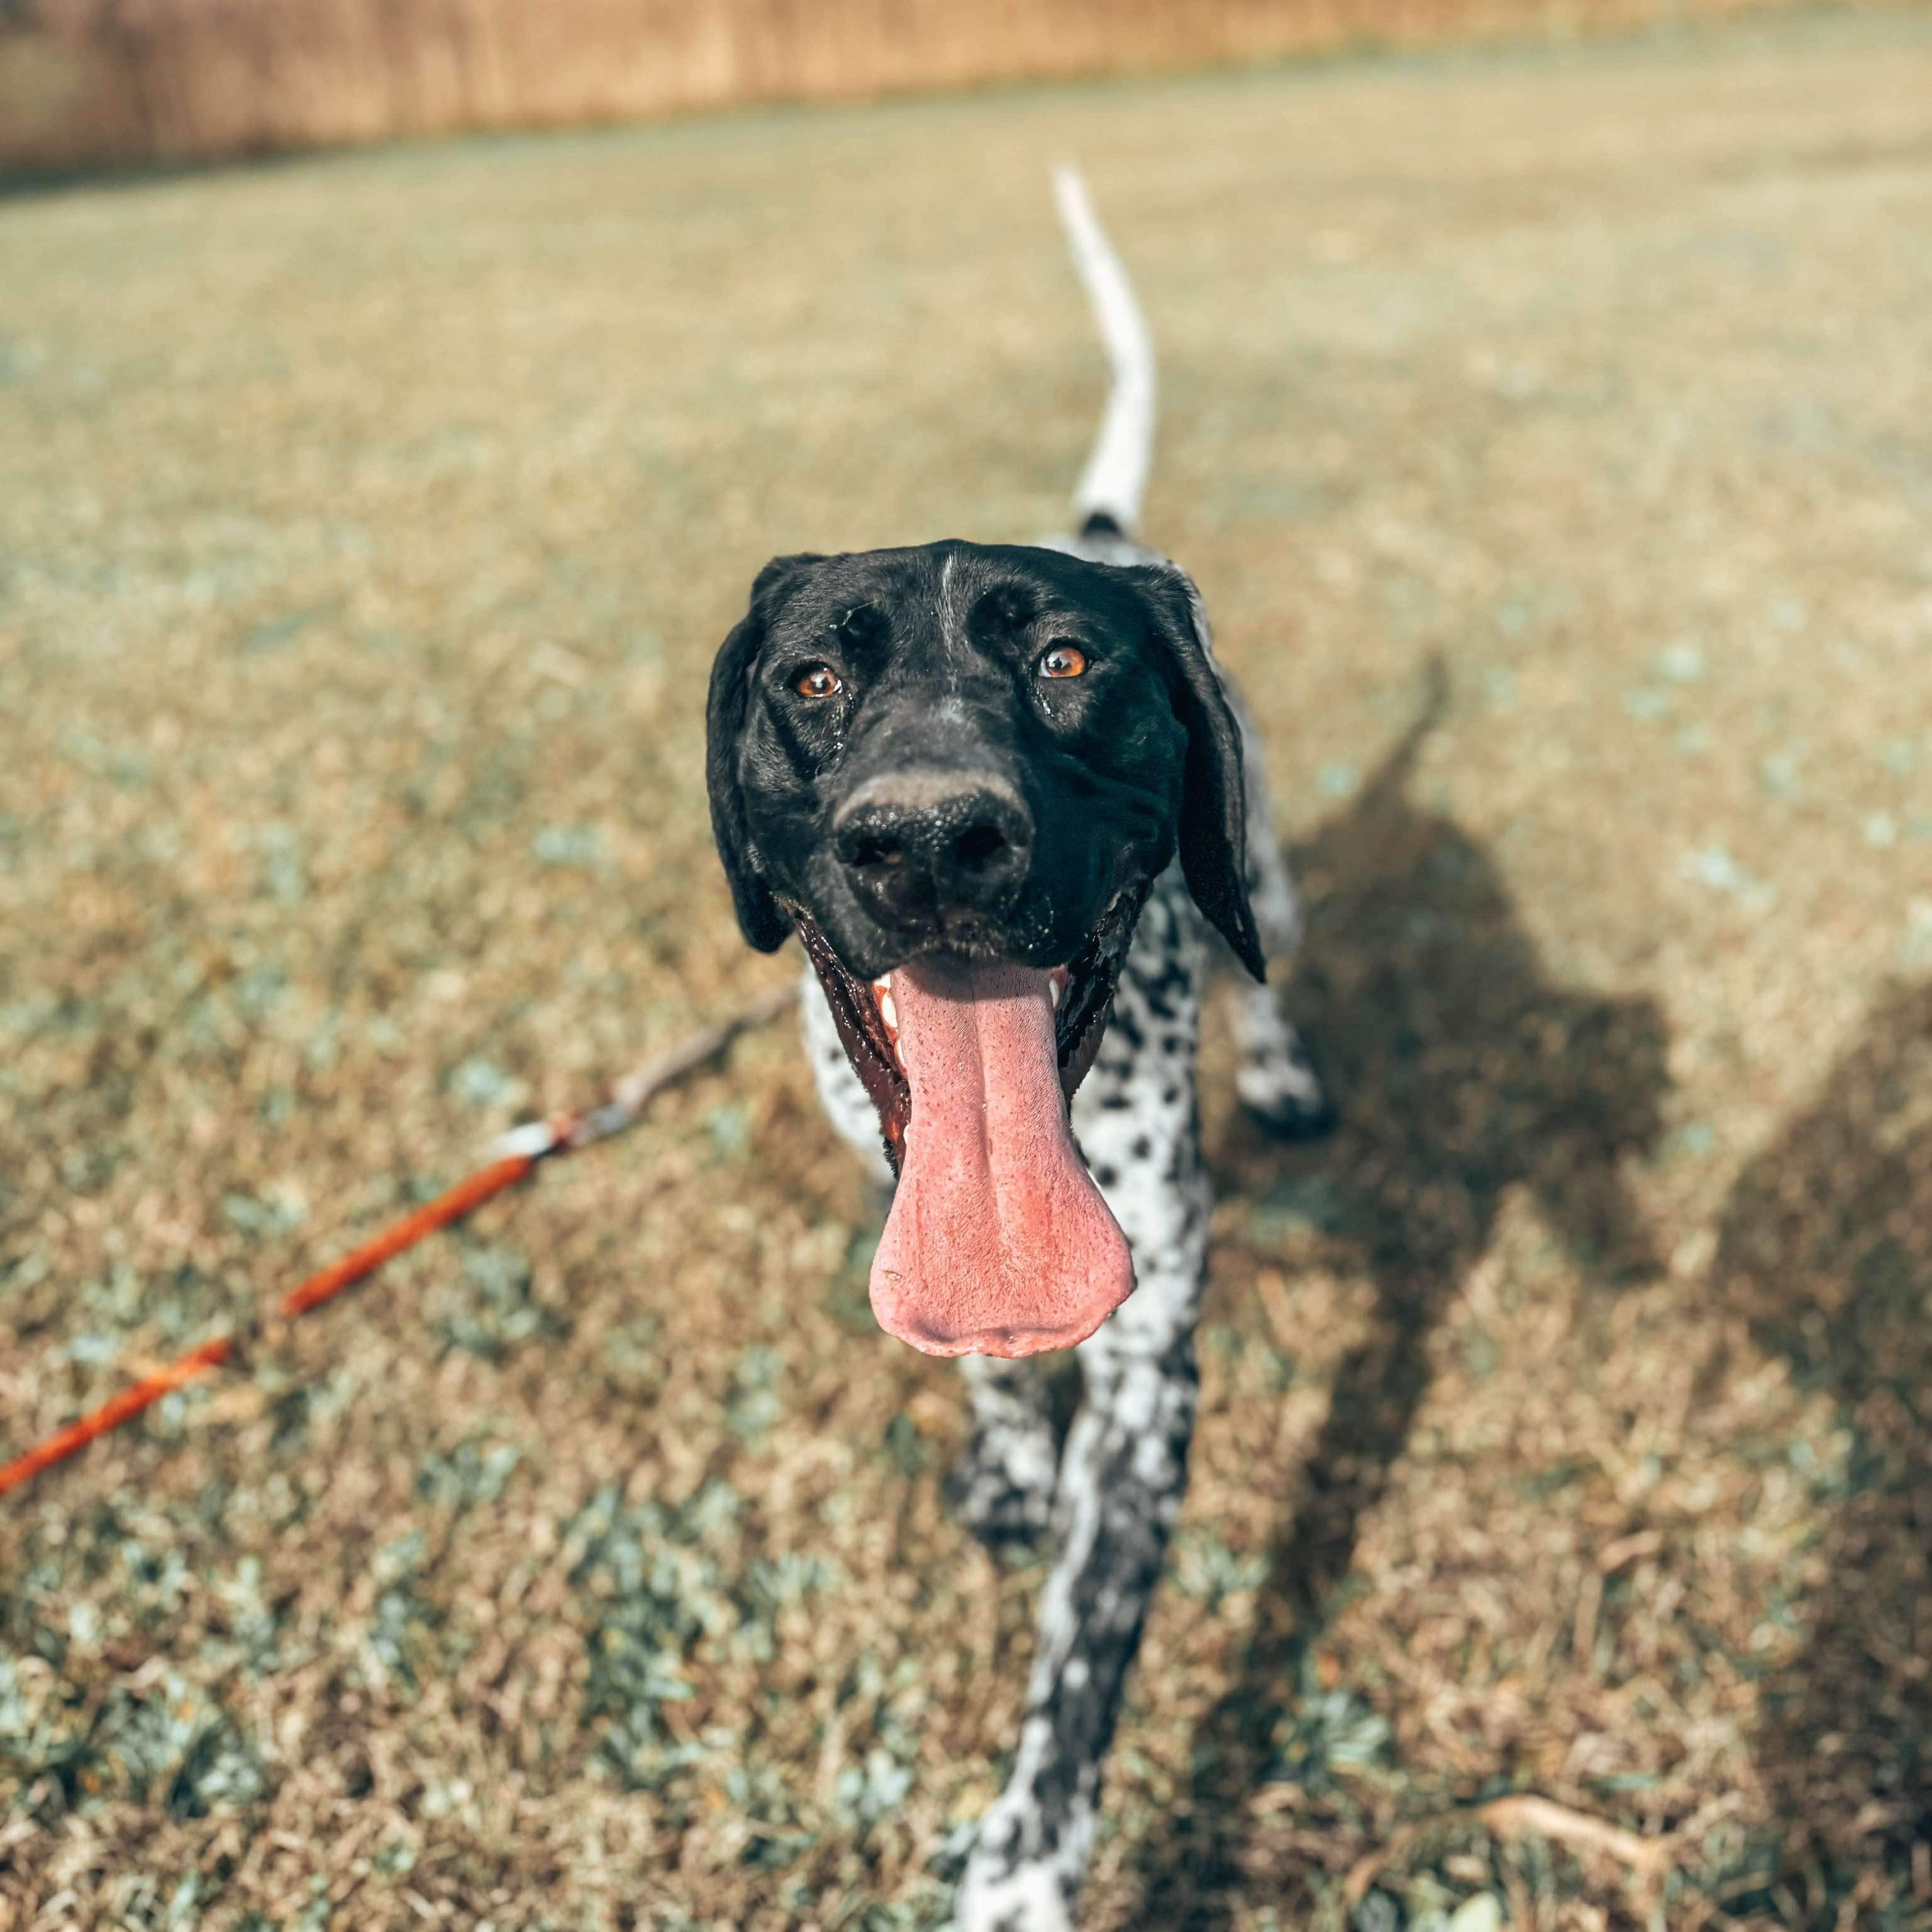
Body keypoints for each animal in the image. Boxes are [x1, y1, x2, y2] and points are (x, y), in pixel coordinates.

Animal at [711, 170, 1329, 1932]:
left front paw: (1024, 1864)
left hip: (1265, 877)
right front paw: (1000, 1459)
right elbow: (980, 1369)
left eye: (1065, 661)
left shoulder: (1147, 1369)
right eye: (812, 675)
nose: (930, 838)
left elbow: (1084, 1656)